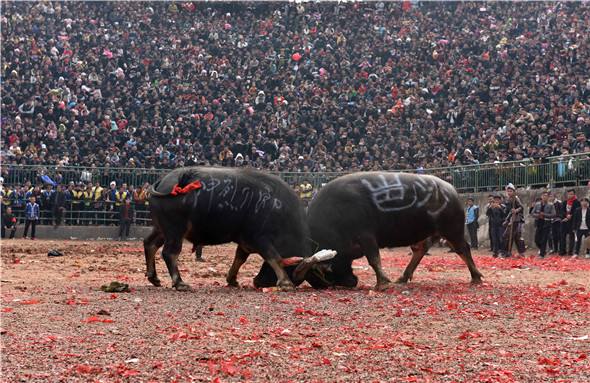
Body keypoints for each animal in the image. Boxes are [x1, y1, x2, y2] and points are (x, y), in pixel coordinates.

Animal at [145, 167, 332, 292]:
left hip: (161, 229)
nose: (259, 282)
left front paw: (232, 280)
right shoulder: (259, 239)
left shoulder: (245, 241)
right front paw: (285, 282)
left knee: (150, 244)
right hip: (175, 230)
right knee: (170, 253)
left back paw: (154, 277)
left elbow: (240, 258)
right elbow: (275, 257)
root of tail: (163, 182)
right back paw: (180, 283)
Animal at [306, 172, 486, 290]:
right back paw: (403, 277)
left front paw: (382, 283)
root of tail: (451, 190)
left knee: (463, 249)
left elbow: (374, 259)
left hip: (451, 230)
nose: (348, 282)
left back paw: (476, 277)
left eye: (326, 272)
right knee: (420, 249)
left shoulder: (366, 236)